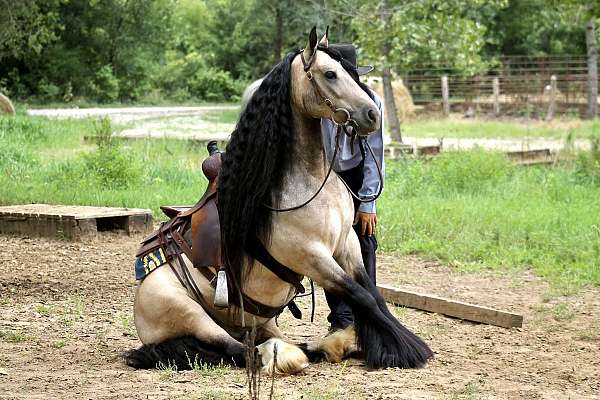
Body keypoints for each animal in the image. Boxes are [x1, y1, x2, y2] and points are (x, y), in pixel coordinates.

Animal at [125, 28, 432, 376]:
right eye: (330, 74)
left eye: (352, 73)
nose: (372, 114)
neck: (308, 181)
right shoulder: (311, 256)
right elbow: (361, 297)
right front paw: (406, 349)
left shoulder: (347, 244)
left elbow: (372, 294)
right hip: (192, 314)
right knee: (239, 349)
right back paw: (281, 355)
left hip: (258, 321)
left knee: (275, 341)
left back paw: (332, 344)